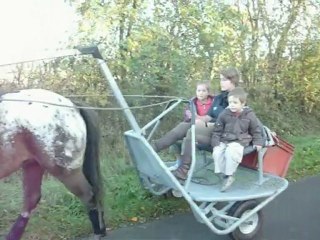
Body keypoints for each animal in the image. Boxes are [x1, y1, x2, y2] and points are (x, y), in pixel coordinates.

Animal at [0, 88, 107, 240]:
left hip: (64, 170)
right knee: (31, 198)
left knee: (88, 195)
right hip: (33, 164)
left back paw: (97, 232)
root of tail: (72, 105)